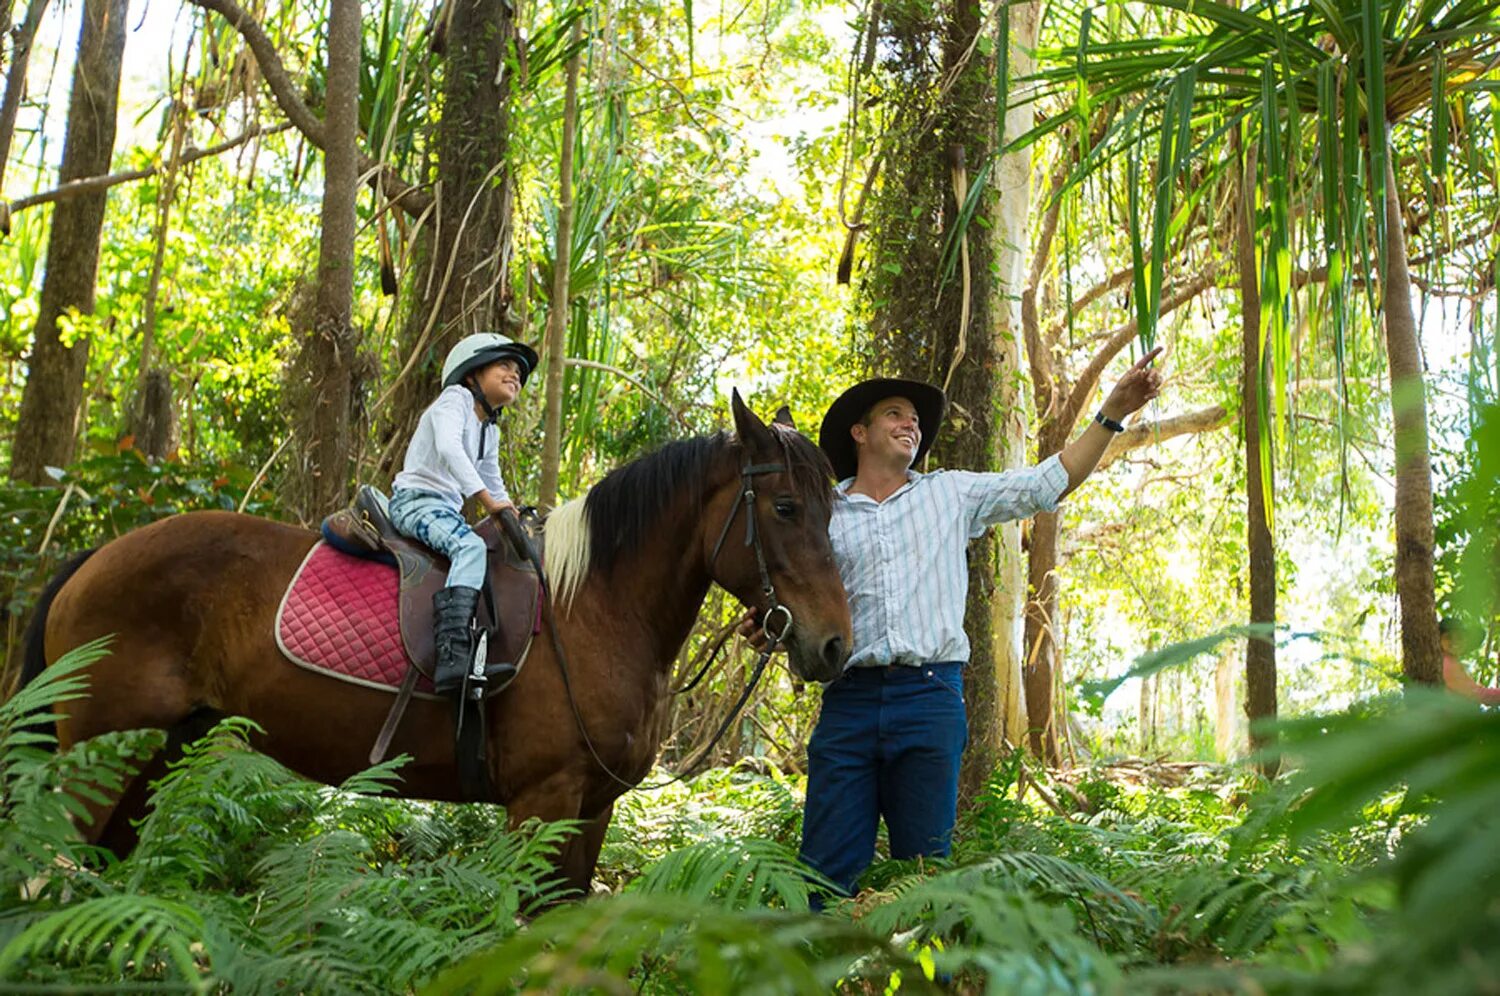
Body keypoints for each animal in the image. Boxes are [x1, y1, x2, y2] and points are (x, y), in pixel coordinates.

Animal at [23, 393, 852, 888]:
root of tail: (94, 559)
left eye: (832, 512)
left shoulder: (592, 809)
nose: (836, 646)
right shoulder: (542, 803)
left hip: (154, 752)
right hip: (100, 758)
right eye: (784, 507)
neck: (597, 612)